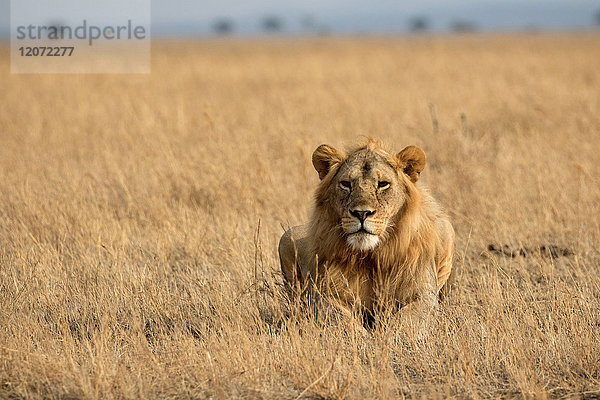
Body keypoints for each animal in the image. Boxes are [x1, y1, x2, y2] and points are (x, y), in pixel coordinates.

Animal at [278, 139, 458, 320]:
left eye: (383, 184)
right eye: (346, 184)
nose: (362, 213)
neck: (371, 257)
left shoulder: (423, 296)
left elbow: (406, 320)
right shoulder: (326, 295)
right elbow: (342, 319)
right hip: (287, 237)